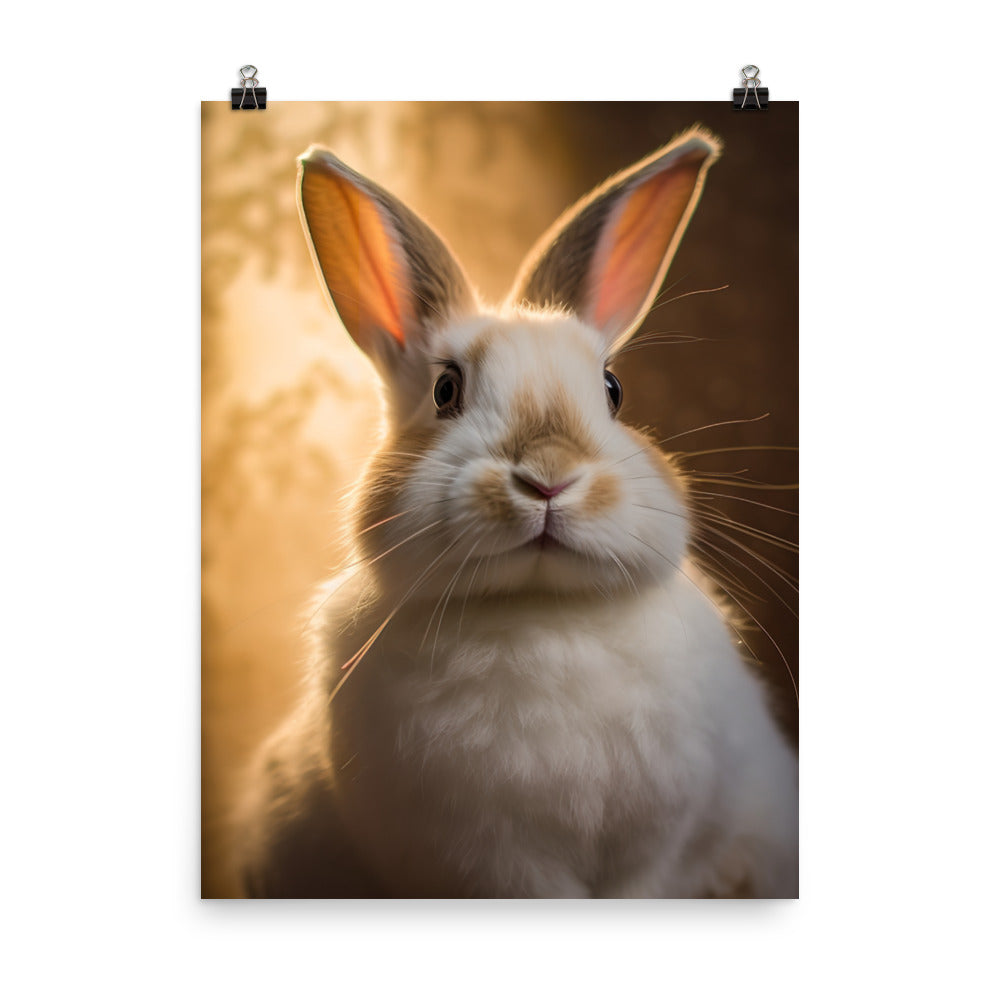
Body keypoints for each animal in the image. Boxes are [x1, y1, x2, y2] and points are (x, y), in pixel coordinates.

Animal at [234, 127, 798, 898]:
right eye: (445, 390)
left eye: (613, 390)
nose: (549, 477)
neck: (543, 612)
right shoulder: (488, 861)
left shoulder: (659, 849)